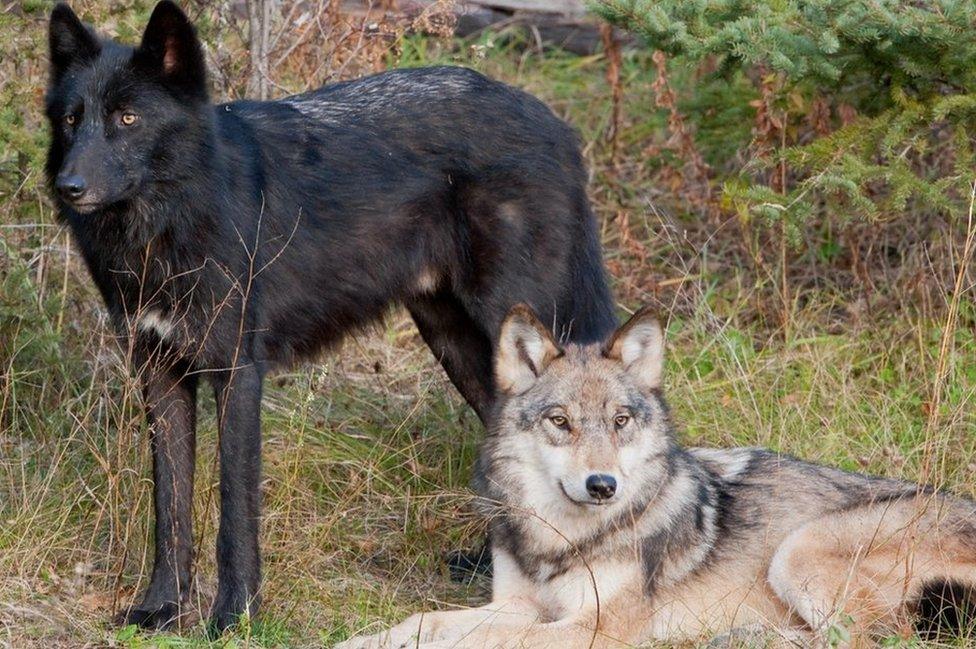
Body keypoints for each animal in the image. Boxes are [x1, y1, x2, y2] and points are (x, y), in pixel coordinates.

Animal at [45, 0, 612, 632]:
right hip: (460, 346)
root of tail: (555, 123)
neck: (168, 221)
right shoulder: (160, 376)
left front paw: (234, 616)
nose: (69, 186)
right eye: (71, 120)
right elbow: (169, 509)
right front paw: (163, 609)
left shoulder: (237, 376)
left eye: (127, 118)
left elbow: (233, 511)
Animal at [338, 306, 976, 648]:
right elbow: (427, 620)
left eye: (620, 421)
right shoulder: (522, 604)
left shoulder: (590, 628)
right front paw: (363, 640)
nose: (603, 486)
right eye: (561, 422)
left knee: (876, 640)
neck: (561, 539)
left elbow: (485, 641)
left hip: (799, 550)